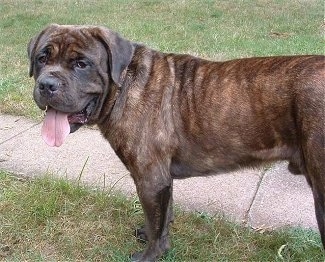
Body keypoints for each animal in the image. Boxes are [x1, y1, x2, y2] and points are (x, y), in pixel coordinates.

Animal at [28, 24, 324, 260]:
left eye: (81, 63)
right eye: (42, 58)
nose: (46, 84)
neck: (123, 86)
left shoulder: (150, 179)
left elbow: (156, 223)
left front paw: (149, 255)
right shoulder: (161, 179)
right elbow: (163, 215)